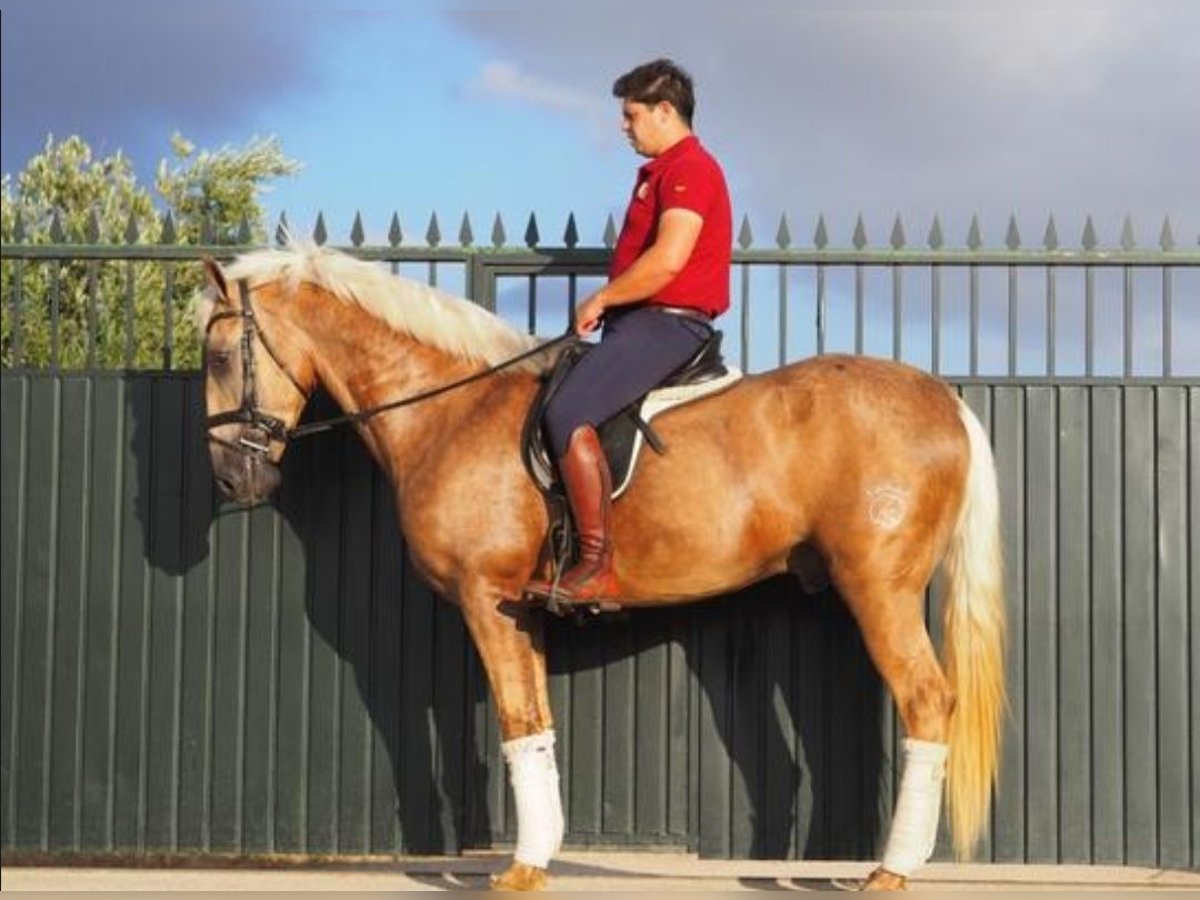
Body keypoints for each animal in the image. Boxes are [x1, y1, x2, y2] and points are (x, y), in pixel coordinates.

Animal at [196, 243, 1003, 892]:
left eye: (218, 357)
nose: (232, 480)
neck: (455, 410)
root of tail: (945, 401)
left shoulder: (485, 597)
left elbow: (517, 719)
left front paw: (522, 869)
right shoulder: (518, 609)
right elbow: (537, 725)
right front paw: (538, 853)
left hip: (879, 591)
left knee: (926, 702)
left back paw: (890, 871)